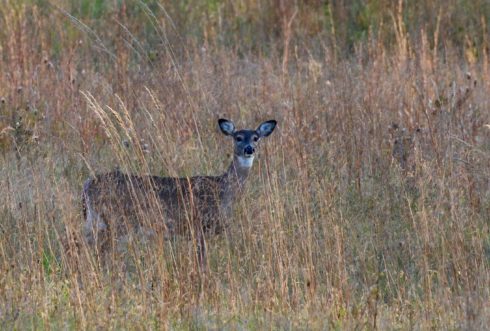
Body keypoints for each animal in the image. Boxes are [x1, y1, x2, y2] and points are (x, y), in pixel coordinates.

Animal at [82, 118, 278, 272]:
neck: (223, 191)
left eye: (256, 137)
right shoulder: (199, 225)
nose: (249, 149)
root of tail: (88, 184)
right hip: (116, 220)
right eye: (238, 138)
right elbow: (201, 263)